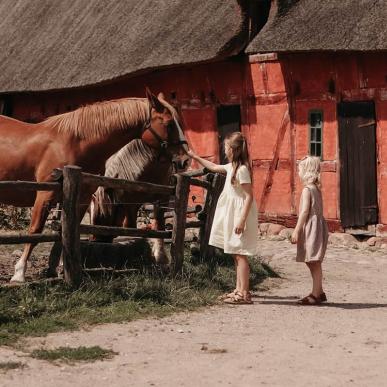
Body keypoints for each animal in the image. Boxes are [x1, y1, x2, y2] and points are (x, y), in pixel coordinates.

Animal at [0, 89, 188, 284]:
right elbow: (35, 231)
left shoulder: (81, 199)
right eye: (169, 124)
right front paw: (19, 273)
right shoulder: (45, 195)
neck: (74, 143)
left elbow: (68, 232)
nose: (184, 160)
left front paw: (63, 268)